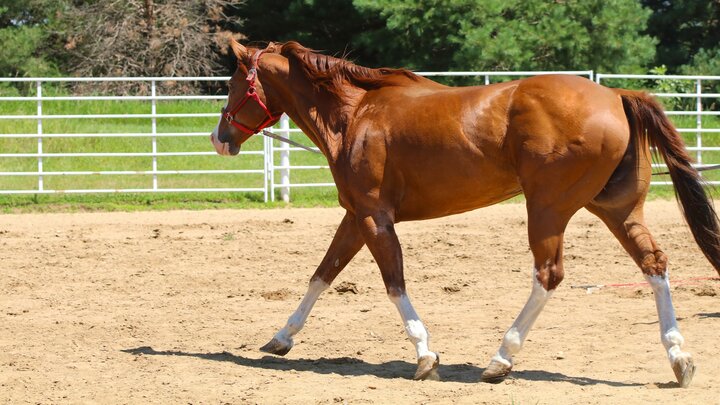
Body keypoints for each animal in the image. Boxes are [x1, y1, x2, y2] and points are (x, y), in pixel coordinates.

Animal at [208, 40, 720, 386]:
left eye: (232, 84)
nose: (219, 139)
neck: (357, 114)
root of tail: (615, 95)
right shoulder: (356, 216)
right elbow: (322, 274)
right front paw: (281, 338)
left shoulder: (374, 217)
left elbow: (393, 283)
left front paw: (425, 355)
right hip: (617, 209)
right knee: (655, 265)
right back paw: (679, 359)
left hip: (549, 209)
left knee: (548, 275)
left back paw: (500, 360)